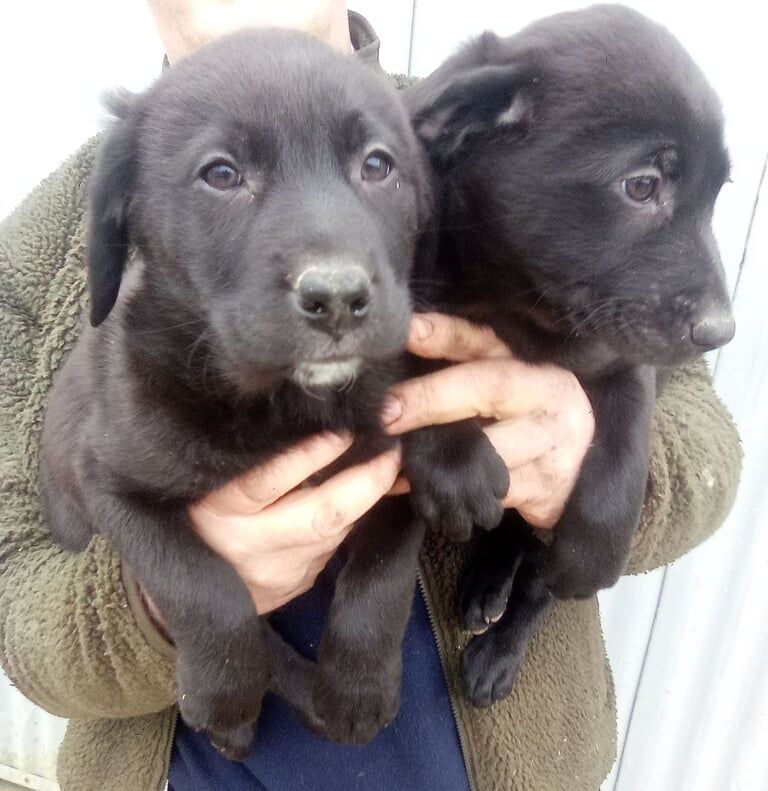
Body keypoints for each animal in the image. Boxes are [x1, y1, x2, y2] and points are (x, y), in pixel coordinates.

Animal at [39, 31, 428, 756]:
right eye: (221, 175)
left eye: (377, 164)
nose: (337, 297)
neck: (283, 405)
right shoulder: (111, 483)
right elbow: (204, 587)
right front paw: (225, 694)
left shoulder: (393, 459)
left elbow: (383, 576)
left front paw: (357, 690)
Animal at [402, 3, 732, 708]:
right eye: (643, 186)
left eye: (718, 193)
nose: (724, 332)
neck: (523, 305)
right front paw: (452, 458)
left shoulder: (626, 360)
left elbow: (622, 453)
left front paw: (595, 552)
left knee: (536, 575)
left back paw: (500, 642)